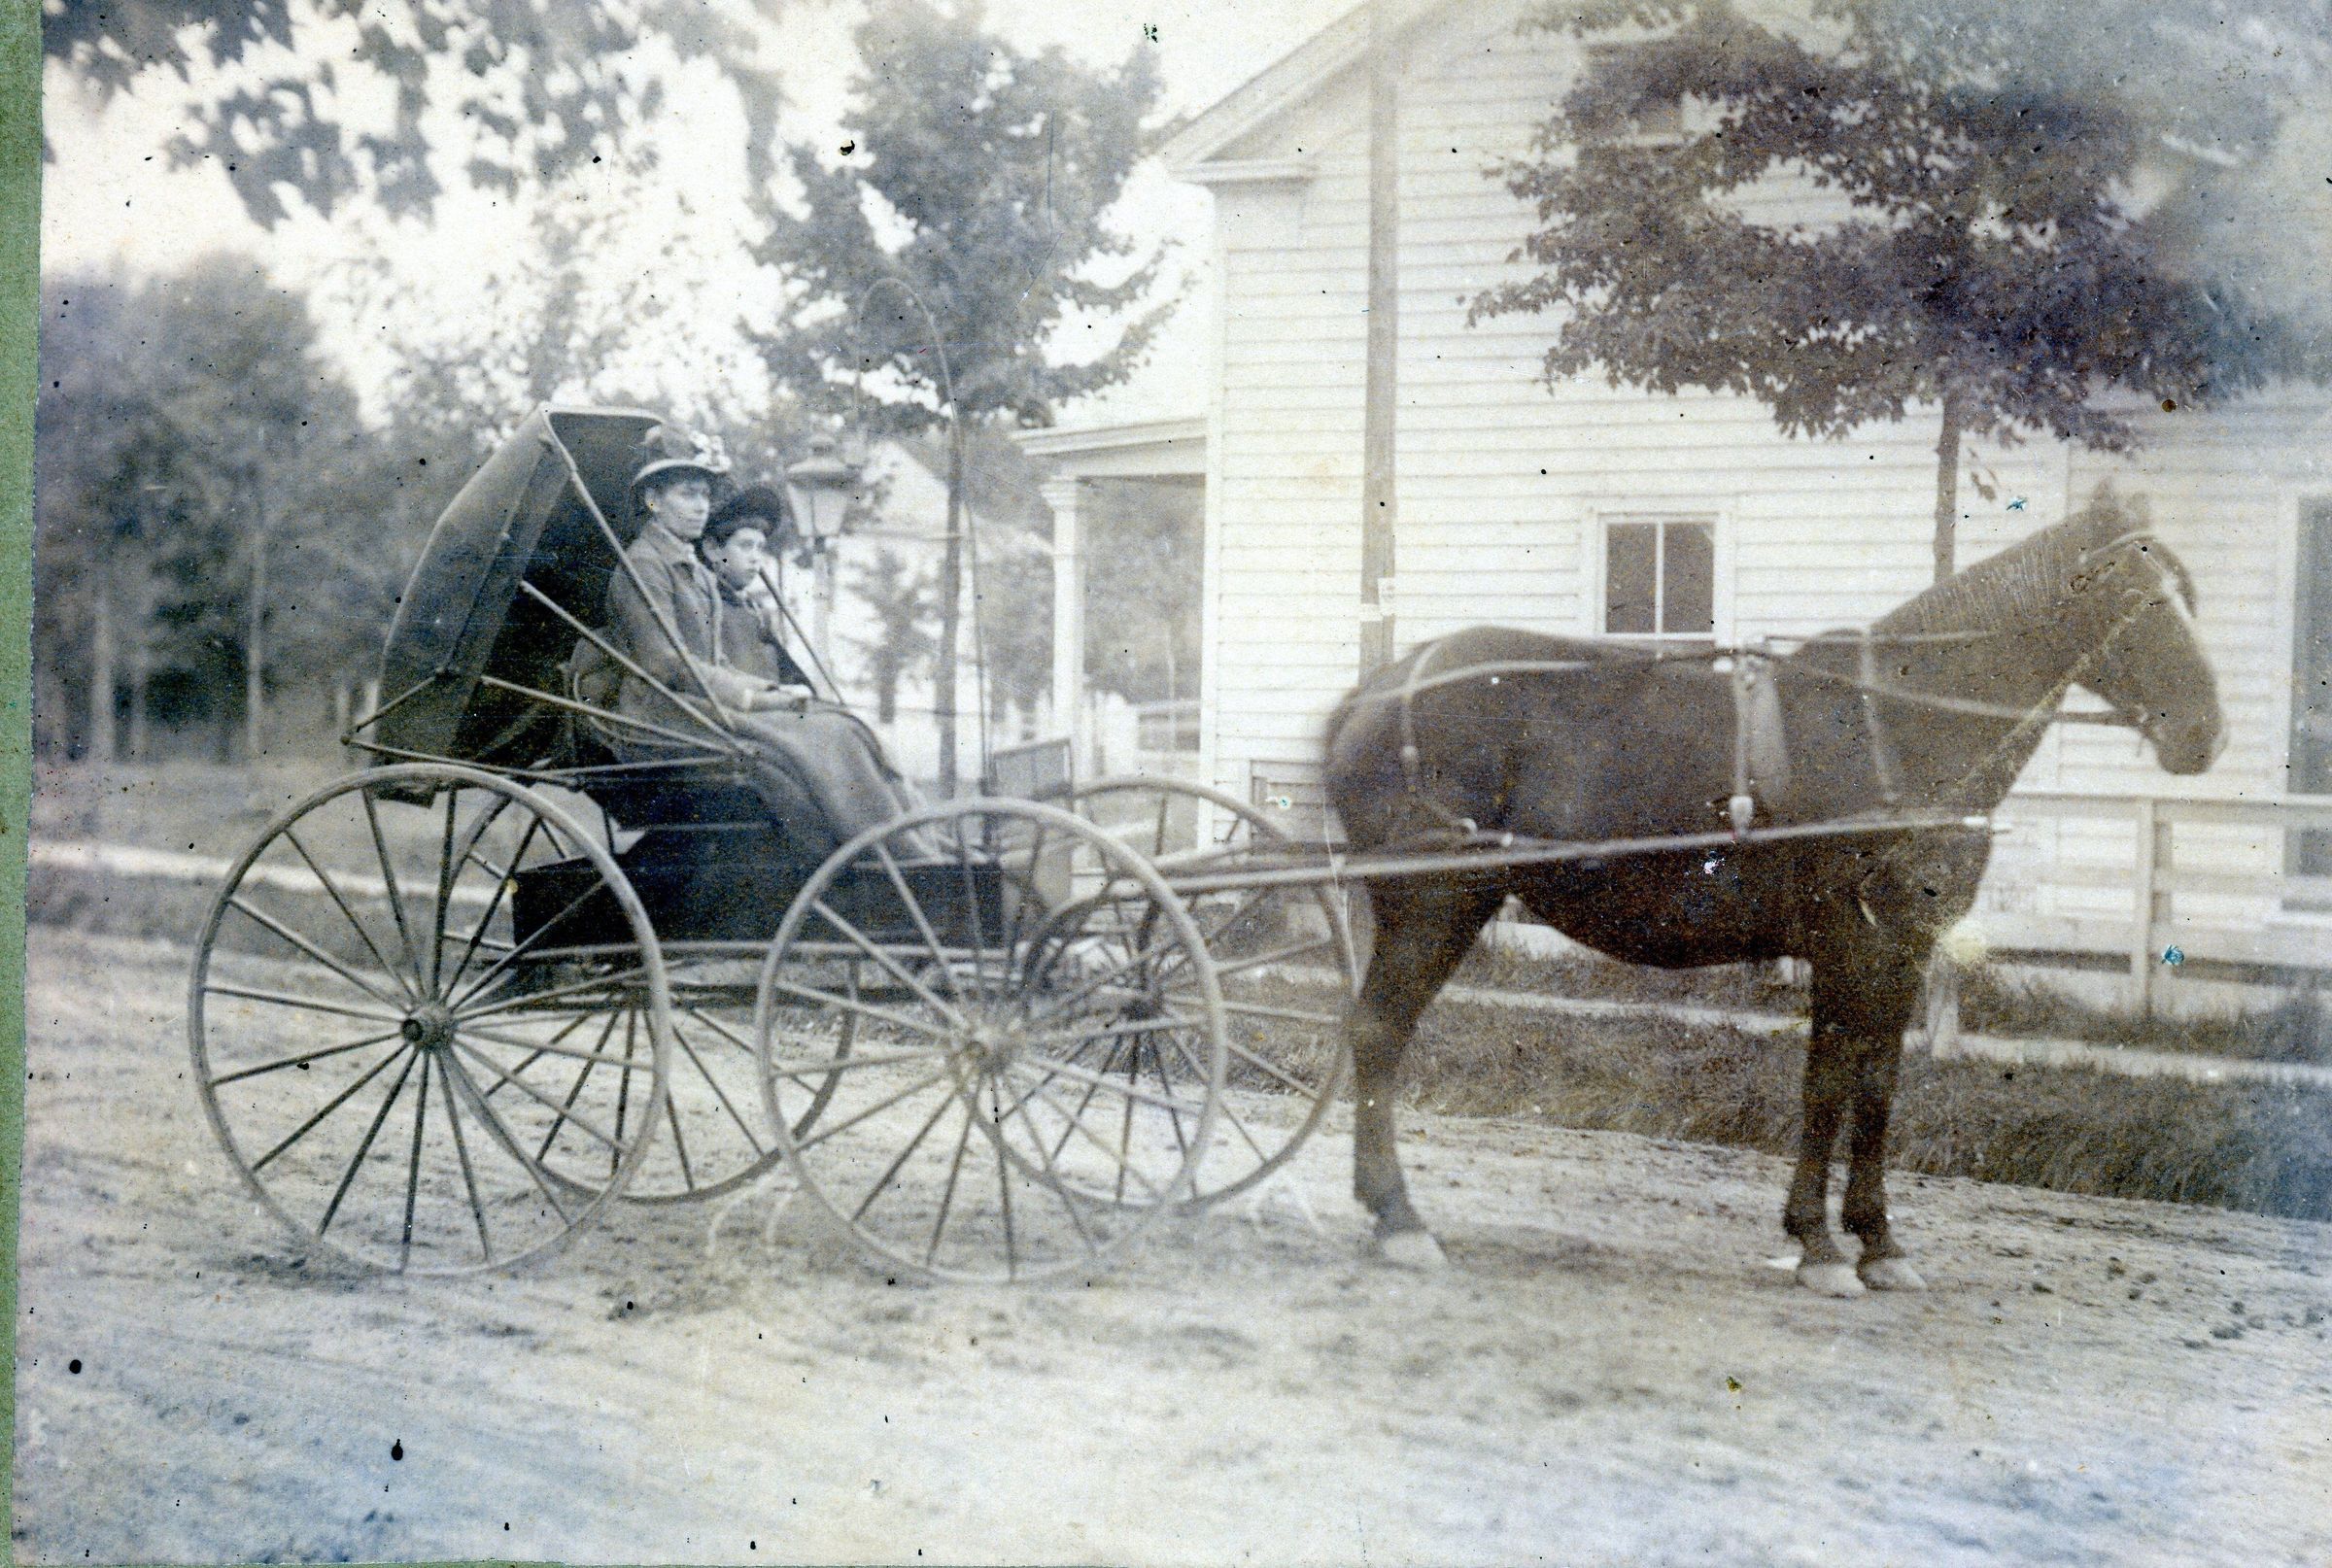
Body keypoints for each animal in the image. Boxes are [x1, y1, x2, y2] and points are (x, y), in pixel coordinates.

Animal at [1321, 494, 2223, 1295]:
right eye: (2140, 599)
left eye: (2187, 590)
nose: (2206, 735)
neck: (1896, 726)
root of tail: (1382, 684)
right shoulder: (1847, 939)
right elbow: (1826, 1084)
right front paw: (1819, 1244)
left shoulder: (1902, 945)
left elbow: (1876, 1085)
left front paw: (1878, 1241)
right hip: (1435, 905)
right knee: (1378, 1035)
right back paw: (1400, 1219)